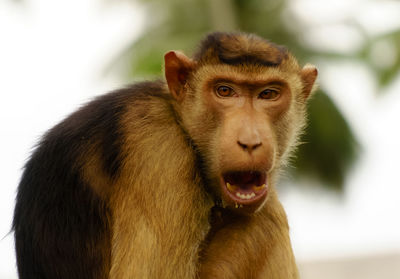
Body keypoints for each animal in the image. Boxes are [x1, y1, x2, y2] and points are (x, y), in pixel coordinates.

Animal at [12, 31, 318, 278]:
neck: (178, 119)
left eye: (269, 94)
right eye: (224, 91)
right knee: (265, 219)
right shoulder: (158, 151)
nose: (250, 140)